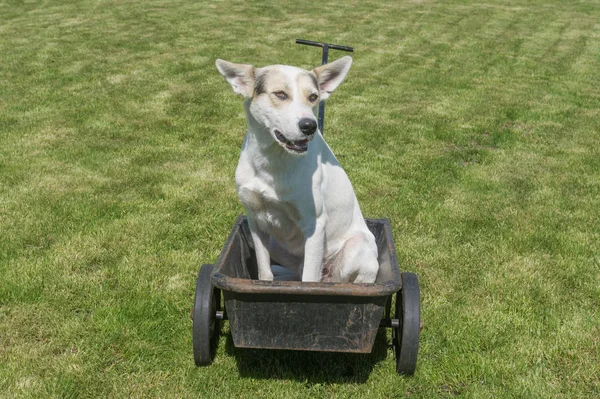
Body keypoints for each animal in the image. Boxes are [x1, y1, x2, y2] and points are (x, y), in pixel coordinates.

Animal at [214, 56, 376, 284]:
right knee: (297, 272)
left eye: (313, 97)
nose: (310, 126)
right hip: (276, 243)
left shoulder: (314, 225)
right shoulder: (256, 221)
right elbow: (264, 272)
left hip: (357, 247)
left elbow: (308, 284)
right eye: (280, 94)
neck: (273, 162)